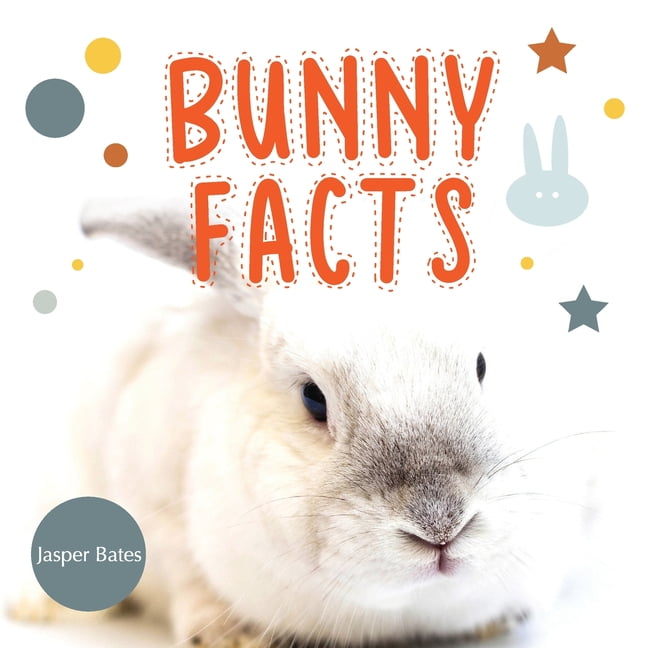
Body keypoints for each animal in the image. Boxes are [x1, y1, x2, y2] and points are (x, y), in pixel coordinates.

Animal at [10, 199, 596, 648]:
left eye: (481, 366)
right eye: (314, 398)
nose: (440, 524)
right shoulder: (152, 500)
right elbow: (185, 576)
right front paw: (226, 635)